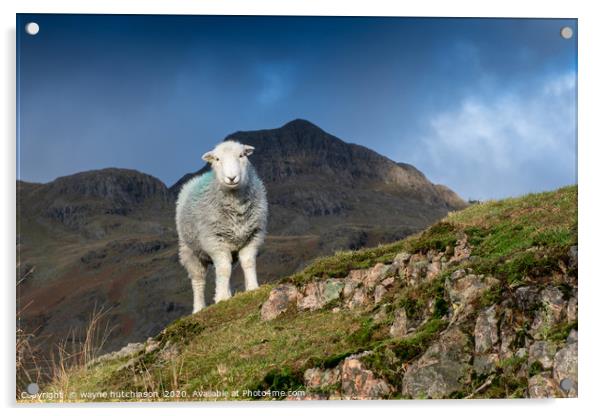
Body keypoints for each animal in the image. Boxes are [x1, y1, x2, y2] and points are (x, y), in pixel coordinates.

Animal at [173, 140, 268, 312]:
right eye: (217, 159)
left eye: (241, 155)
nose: (231, 177)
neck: (236, 210)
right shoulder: (215, 241)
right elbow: (223, 269)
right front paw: (222, 298)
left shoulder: (253, 236)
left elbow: (247, 262)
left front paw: (252, 288)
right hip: (190, 250)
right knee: (198, 279)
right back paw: (199, 308)